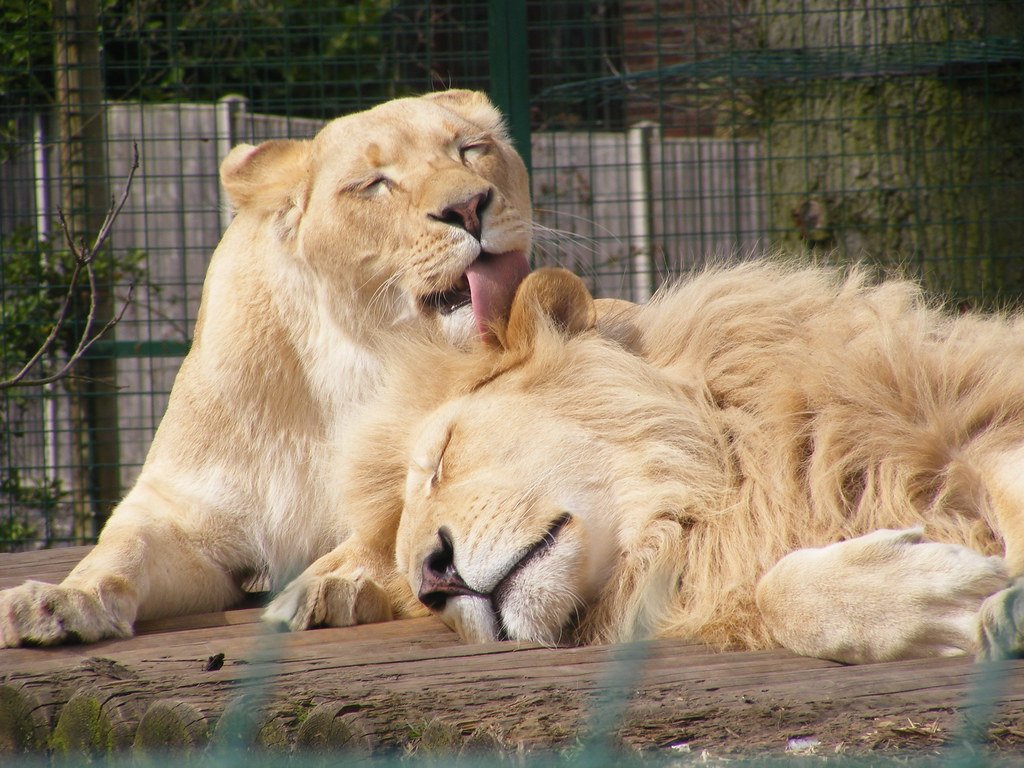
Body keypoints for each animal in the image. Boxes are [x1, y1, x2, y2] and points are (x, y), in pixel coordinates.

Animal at [0, 89, 534, 647]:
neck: (353, 362)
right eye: (374, 184)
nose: (468, 206)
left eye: (471, 149)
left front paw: (331, 585)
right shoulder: (182, 508)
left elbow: (385, 536)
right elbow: (121, 547)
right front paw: (58, 602)